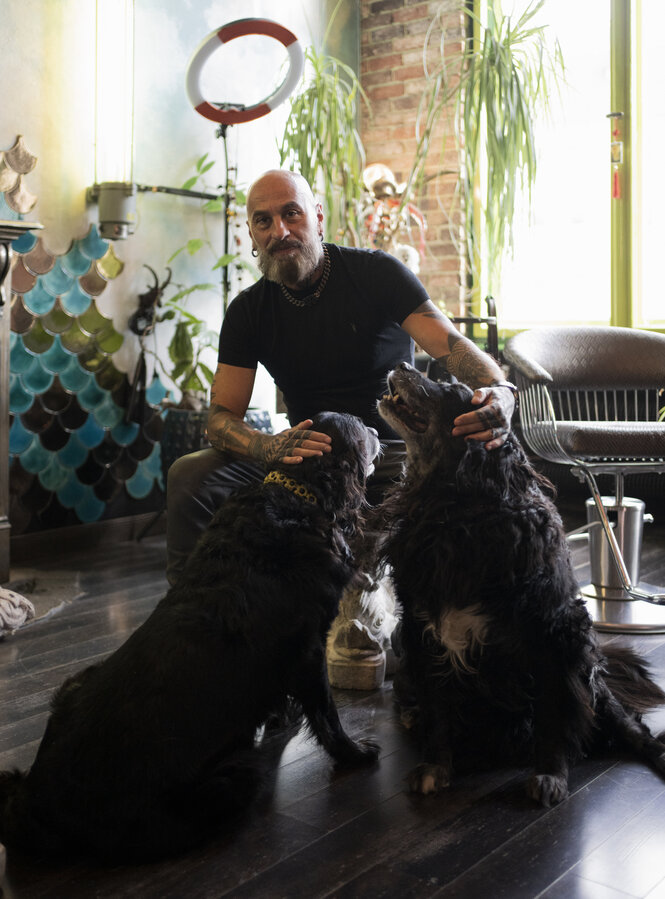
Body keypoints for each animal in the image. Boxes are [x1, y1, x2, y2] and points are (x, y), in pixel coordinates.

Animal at [0, 412, 382, 860]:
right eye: (359, 429)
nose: (378, 431)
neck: (298, 494)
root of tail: (33, 797)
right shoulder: (307, 649)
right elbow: (326, 714)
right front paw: (354, 754)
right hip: (232, 777)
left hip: (76, 681)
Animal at [376, 366, 664, 808]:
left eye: (451, 388)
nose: (405, 367)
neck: (456, 515)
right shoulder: (422, 630)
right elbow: (438, 709)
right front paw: (434, 767)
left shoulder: (557, 635)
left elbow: (554, 715)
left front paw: (550, 774)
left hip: (592, 677)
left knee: (629, 726)